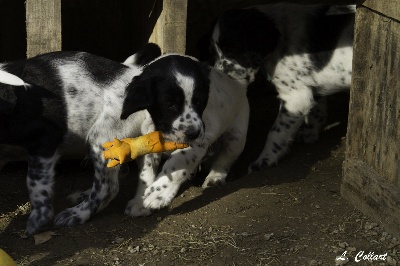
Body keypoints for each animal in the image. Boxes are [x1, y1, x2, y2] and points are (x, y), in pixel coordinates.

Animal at [122, 55, 252, 214]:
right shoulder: (148, 138)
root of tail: (239, 85)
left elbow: (177, 161)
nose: (194, 133)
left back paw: (215, 178)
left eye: (199, 101)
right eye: (170, 104)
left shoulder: (199, 140)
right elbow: (146, 172)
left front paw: (158, 194)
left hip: (236, 136)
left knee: (224, 159)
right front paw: (139, 202)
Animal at [211, 4, 354, 172]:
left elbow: (276, 132)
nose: (221, 77)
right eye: (215, 52)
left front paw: (264, 160)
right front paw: (309, 135)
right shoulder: (310, 88)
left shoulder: (295, 98)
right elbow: (316, 112)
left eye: (232, 48)